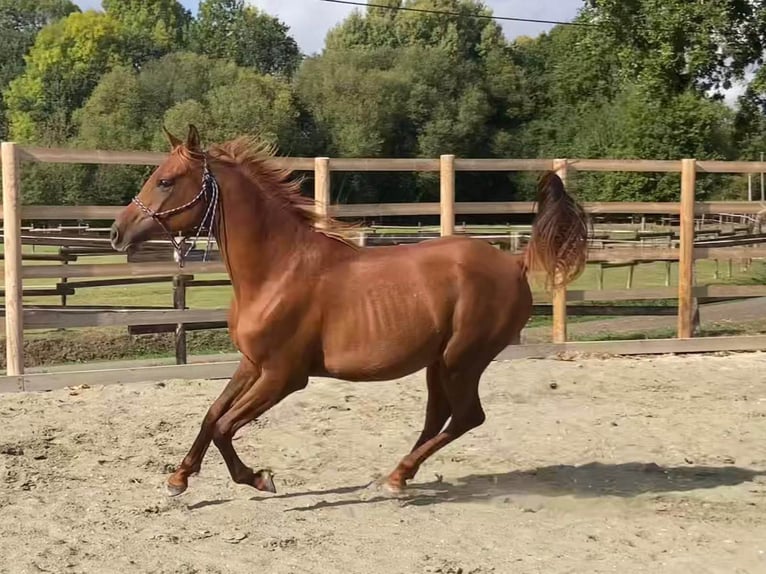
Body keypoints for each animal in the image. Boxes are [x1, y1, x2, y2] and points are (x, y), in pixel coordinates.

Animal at [109, 125, 589, 497]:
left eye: (167, 180)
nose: (116, 233)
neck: (276, 270)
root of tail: (515, 263)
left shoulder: (285, 376)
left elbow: (226, 425)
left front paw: (259, 478)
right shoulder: (252, 363)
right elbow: (211, 414)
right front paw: (179, 478)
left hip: (463, 359)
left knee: (468, 416)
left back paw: (396, 479)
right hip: (439, 362)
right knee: (439, 416)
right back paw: (397, 475)